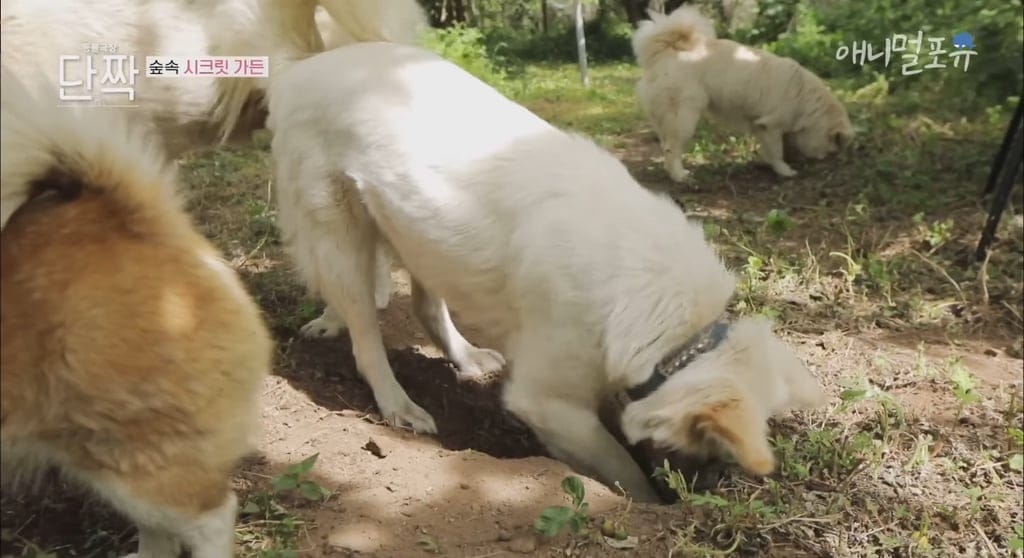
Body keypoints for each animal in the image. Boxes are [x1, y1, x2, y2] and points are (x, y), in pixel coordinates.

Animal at [268, 41, 827, 497]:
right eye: (707, 441)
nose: (705, 493)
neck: (669, 322)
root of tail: (305, 67)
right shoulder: (546, 399)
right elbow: (620, 468)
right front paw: (646, 498)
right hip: (340, 234)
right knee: (364, 333)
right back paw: (397, 404)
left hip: (417, 229)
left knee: (427, 306)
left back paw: (466, 358)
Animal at [630, 5, 856, 180]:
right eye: (832, 148)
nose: (826, 161)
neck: (807, 101)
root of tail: (663, 51)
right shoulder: (771, 126)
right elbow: (777, 151)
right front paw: (784, 170)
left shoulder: (765, 126)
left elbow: (781, 146)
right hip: (685, 118)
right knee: (671, 149)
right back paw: (680, 176)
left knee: (665, 145)